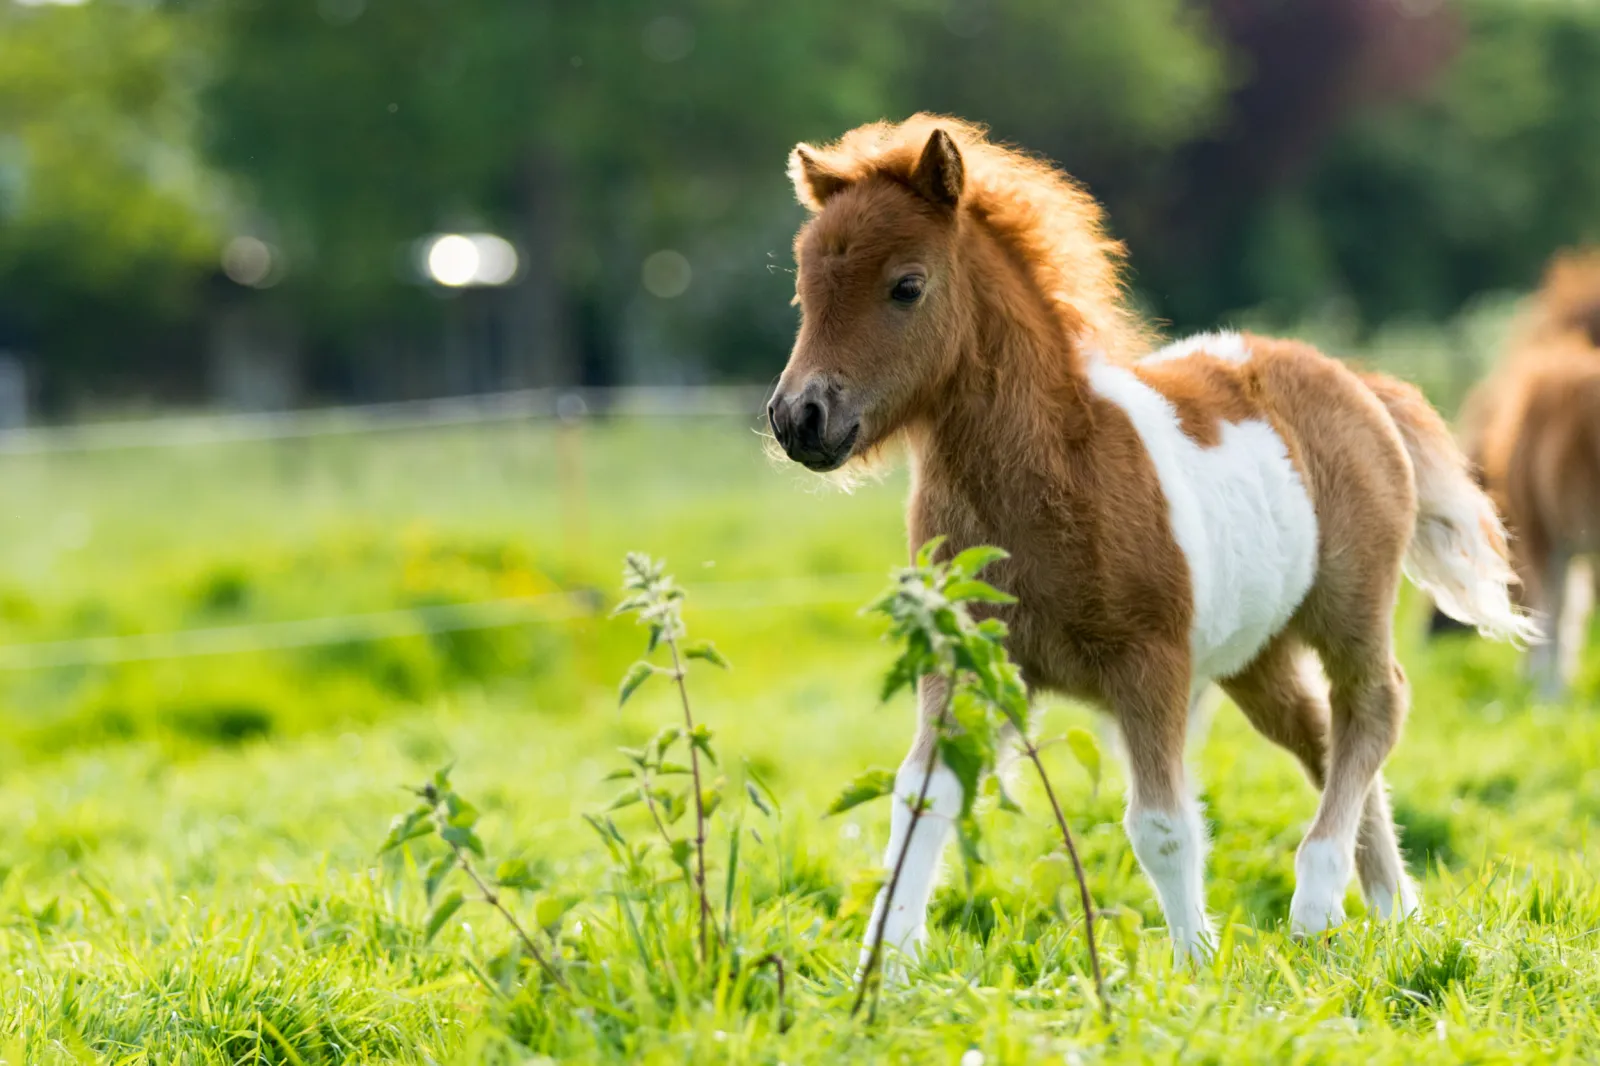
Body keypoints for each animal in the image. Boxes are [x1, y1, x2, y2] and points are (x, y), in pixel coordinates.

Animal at [764, 115, 1537, 970]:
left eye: (906, 285)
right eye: (804, 288)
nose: (799, 419)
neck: (1055, 472)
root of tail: (1357, 381)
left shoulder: (1151, 665)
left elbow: (1162, 827)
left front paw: (1195, 966)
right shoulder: (968, 657)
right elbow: (923, 798)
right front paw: (886, 965)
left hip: (1349, 606)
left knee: (1374, 706)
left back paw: (1316, 900)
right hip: (1255, 654)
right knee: (1319, 734)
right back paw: (1396, 910)